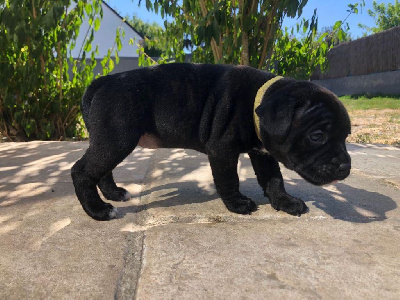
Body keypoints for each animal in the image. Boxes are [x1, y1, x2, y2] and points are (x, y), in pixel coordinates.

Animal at [71, 63, 350, 220]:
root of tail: (102, 81)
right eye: (317, 136)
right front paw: (237, 204)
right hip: (116, 139)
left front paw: (284, 202)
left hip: (111, 141)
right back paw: (98, 210)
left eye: (347, 136)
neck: (259, 99)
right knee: (82, 171)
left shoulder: (263, 153)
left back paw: (114, 194)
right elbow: (229, 180)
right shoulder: (222, 150)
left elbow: (274, 180)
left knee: (102, 170)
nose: (345, 167)